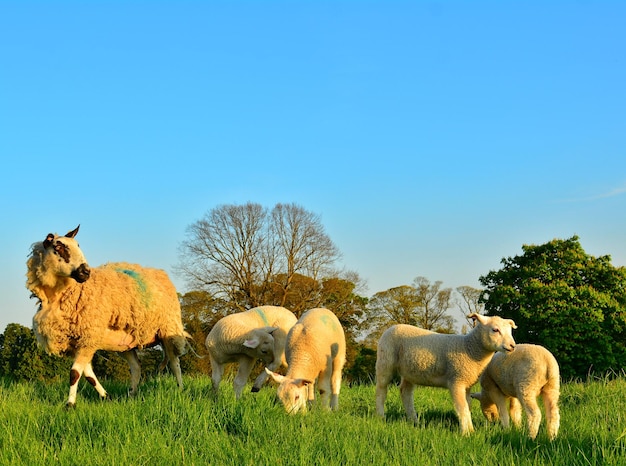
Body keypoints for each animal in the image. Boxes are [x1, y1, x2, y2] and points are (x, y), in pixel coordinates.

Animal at [26, 225, 188, 404]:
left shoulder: (88, 337)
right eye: (59, 247)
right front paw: (106, 396)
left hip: (169, 330)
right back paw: (131, 395)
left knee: (174, 363)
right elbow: (88, 375)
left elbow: (75, 373)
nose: (86, 272)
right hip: (126, 343)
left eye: (78, 245)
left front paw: (70, 404)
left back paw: (180, 390)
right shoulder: (78, 342)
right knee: (136, 367)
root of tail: (160, 273)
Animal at [372, 312, 516, 436]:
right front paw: (466, 433)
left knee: (405, 392)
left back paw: (414, 420)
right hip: (385, 360)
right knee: (381, 390)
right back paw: (380, 416)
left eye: (510, 330)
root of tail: (392, 327)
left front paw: (470, 429)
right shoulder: (456, 381)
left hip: (410, 371)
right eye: (495, 330)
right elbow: (462, 407)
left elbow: (468, 406)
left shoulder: (466, 384)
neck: (469, 348)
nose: (512, 346)